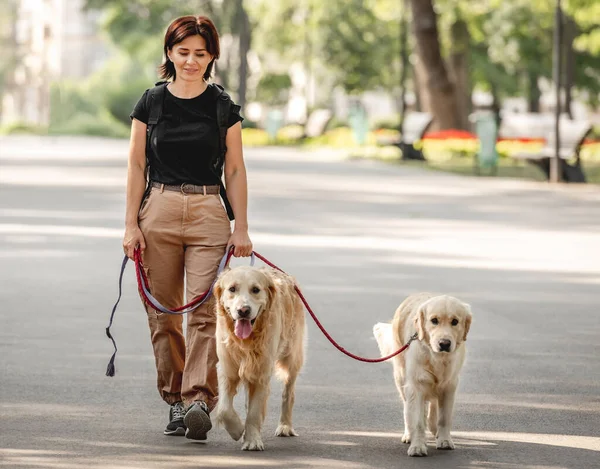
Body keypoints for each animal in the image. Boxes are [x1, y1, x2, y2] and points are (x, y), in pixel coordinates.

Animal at [213, 266, 304, 448]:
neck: (246, 341)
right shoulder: (227, 369)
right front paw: (237, 429)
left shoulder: (262, 372)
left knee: (288, 393)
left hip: (292, 358)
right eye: (232, 289)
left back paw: (285, 426)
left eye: (255, 290)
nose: (243, 311)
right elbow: (224, 409)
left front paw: (252, 440)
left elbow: (254, 412)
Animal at [372, 294, 472, 456]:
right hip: (401, 377)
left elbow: (444, 418)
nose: (444, 344)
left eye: (455, 322)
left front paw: (444, 440)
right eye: (434, 320)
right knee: (407, 409)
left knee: (433, 406)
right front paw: (417, 446)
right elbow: (417, 421)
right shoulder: (416, 385)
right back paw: (409, 434)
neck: (437, 357)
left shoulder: (449, 386)